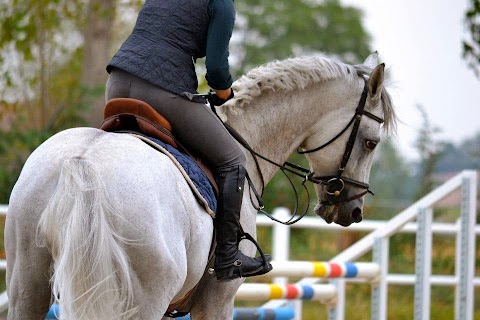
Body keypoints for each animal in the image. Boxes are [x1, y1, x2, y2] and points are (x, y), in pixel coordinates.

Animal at [4, 53, 394, 320]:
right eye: (371, 142)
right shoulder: (217, 299)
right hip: (141, 299)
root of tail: (82, 162)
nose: (353, 210)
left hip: (28, 287)